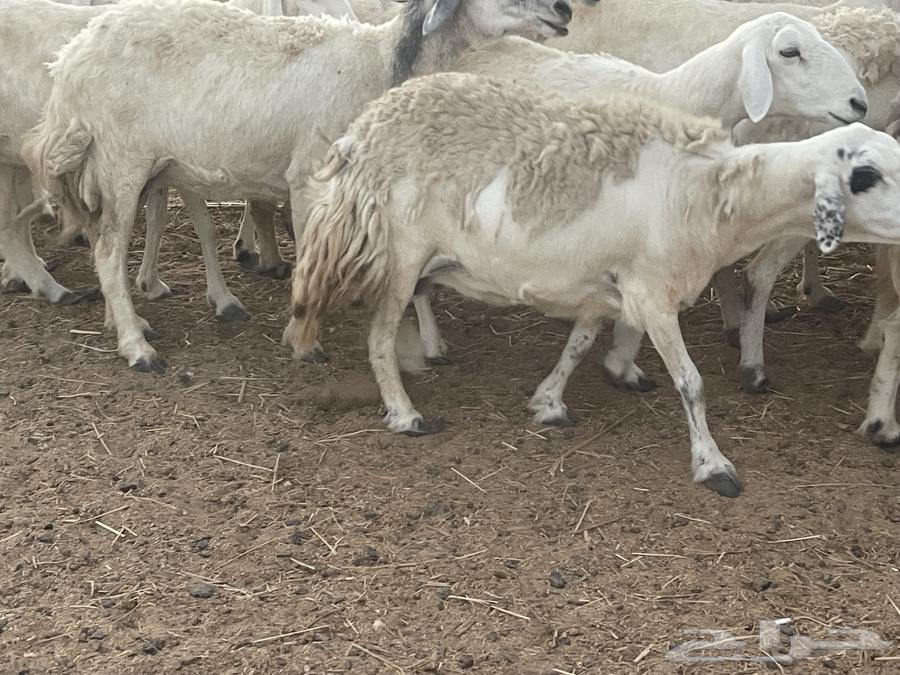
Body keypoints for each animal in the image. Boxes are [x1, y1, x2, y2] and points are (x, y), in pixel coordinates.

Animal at [25, 0, 575, 372]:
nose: (564, 10)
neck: (379, 65)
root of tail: (68, 63)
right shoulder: (310, 176)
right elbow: (311, 253)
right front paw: (304, 339)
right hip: (121, 160)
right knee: (107, 252)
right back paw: (138, 350)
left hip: (124, 167)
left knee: (106, 244)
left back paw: (127, 324)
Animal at [283, 71, 900, 497]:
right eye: (865, 177)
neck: (710, 196)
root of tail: (360, 133)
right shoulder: (653, 293)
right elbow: (692, 384)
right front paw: (713, 465)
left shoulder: (612, 282)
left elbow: (580, 344)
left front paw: (551, 400)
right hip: (401, 250)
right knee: (379, 338)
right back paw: (406, 415)